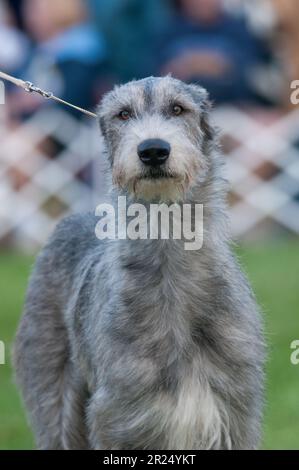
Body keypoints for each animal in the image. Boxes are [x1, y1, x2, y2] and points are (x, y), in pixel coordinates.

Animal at [14, 75, 264, 450]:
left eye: (178, 108)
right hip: (51, 387)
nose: (153, 150)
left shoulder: (236, 411)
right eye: (123, 114)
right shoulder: (118, 418)